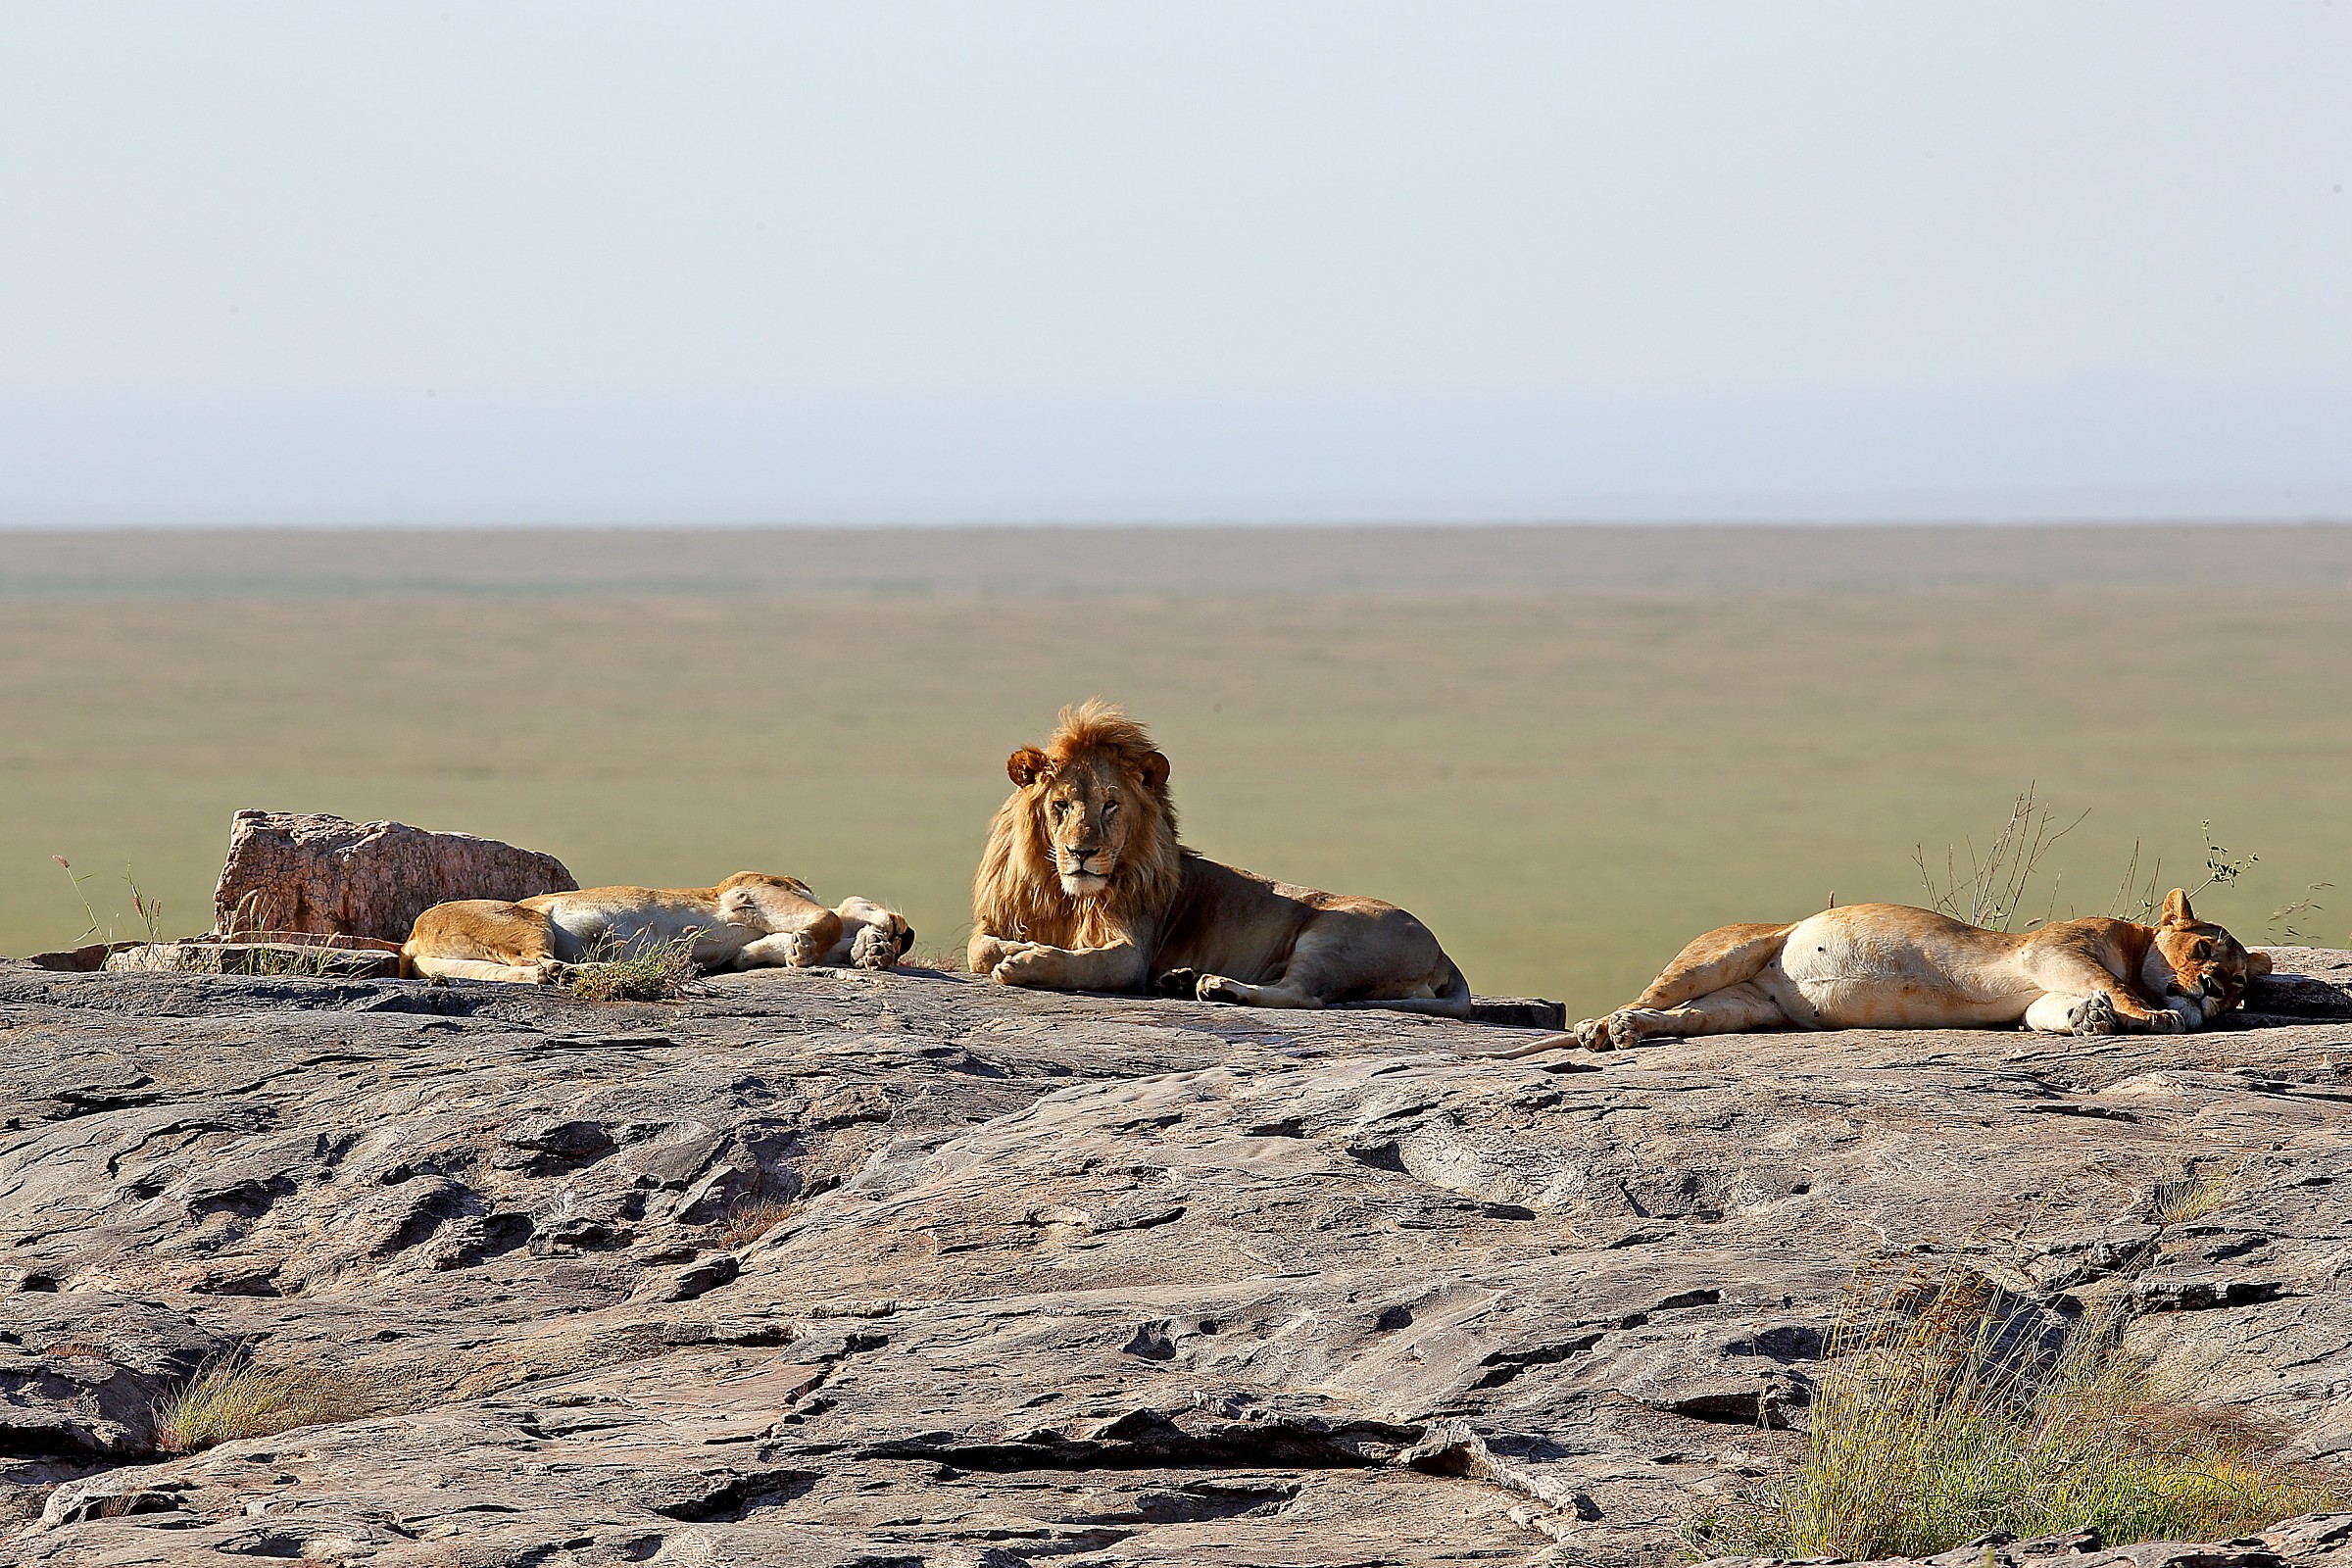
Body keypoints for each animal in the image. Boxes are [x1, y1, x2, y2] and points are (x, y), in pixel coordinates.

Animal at [964, 700, 1458, 1020]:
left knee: (1304, 995)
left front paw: (1025, 962)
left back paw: (1219, 987)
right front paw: (1015, 949)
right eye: (1061, 805)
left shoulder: (1132, 953)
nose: (1081, 853)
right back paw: (1180, 981)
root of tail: (1442, 953)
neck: (1065, 895)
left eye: (1111, 805)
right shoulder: (996, 921)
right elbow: (979, 950)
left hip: (1334, 935)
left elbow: (1085, 964)